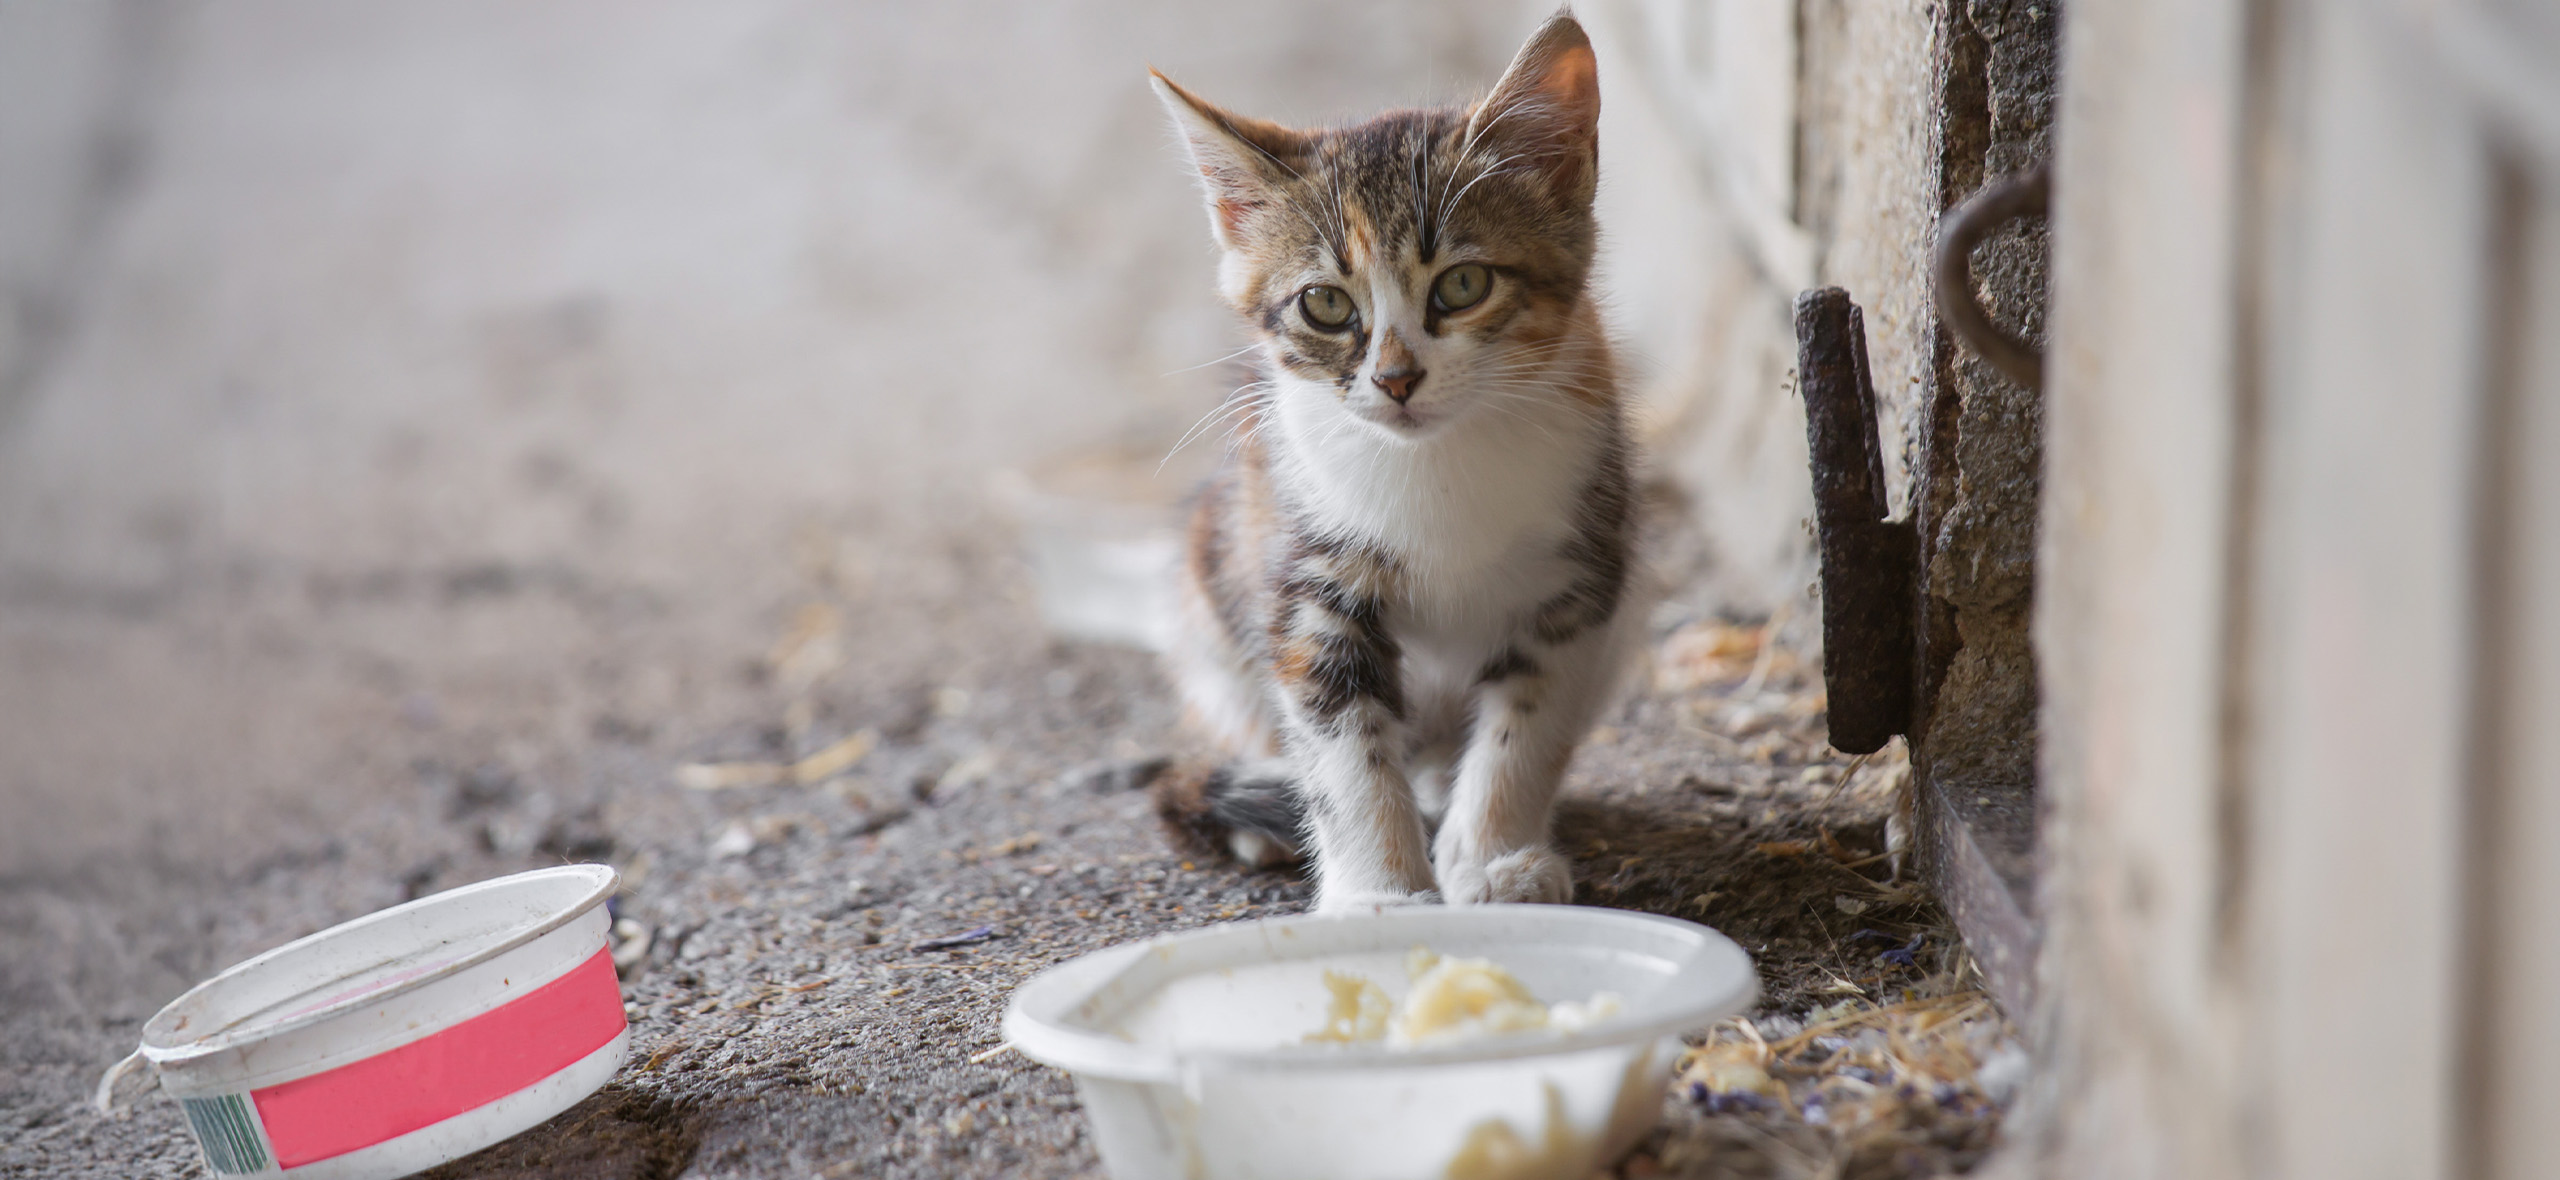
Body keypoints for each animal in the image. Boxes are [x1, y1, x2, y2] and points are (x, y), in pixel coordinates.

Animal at [1146, 11, 1628, 911]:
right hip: (1215, 582)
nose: (1397, 379)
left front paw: (1495, 856)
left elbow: (1527, 723)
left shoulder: (1578, 575)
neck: (1435, 462)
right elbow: (1344, 747)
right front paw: (1380, 895)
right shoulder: (1307, 583)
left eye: (1464, 285)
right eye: (1325, 304)